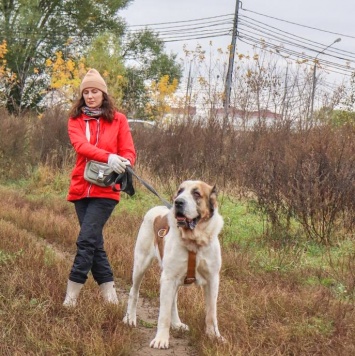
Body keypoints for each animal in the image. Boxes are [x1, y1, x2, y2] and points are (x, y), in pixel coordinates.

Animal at [124, 181, 225, 348]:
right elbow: (163, 314)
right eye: (180, 191)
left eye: (196, 193)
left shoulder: (213, 280)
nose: (178, 202)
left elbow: (212, 313)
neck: (194, 242)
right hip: (140, 265)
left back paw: (177, 324)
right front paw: (161, 339)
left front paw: (214, 336)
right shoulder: (168, 278)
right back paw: (130, 318)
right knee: (134, 291)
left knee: (173, 301)